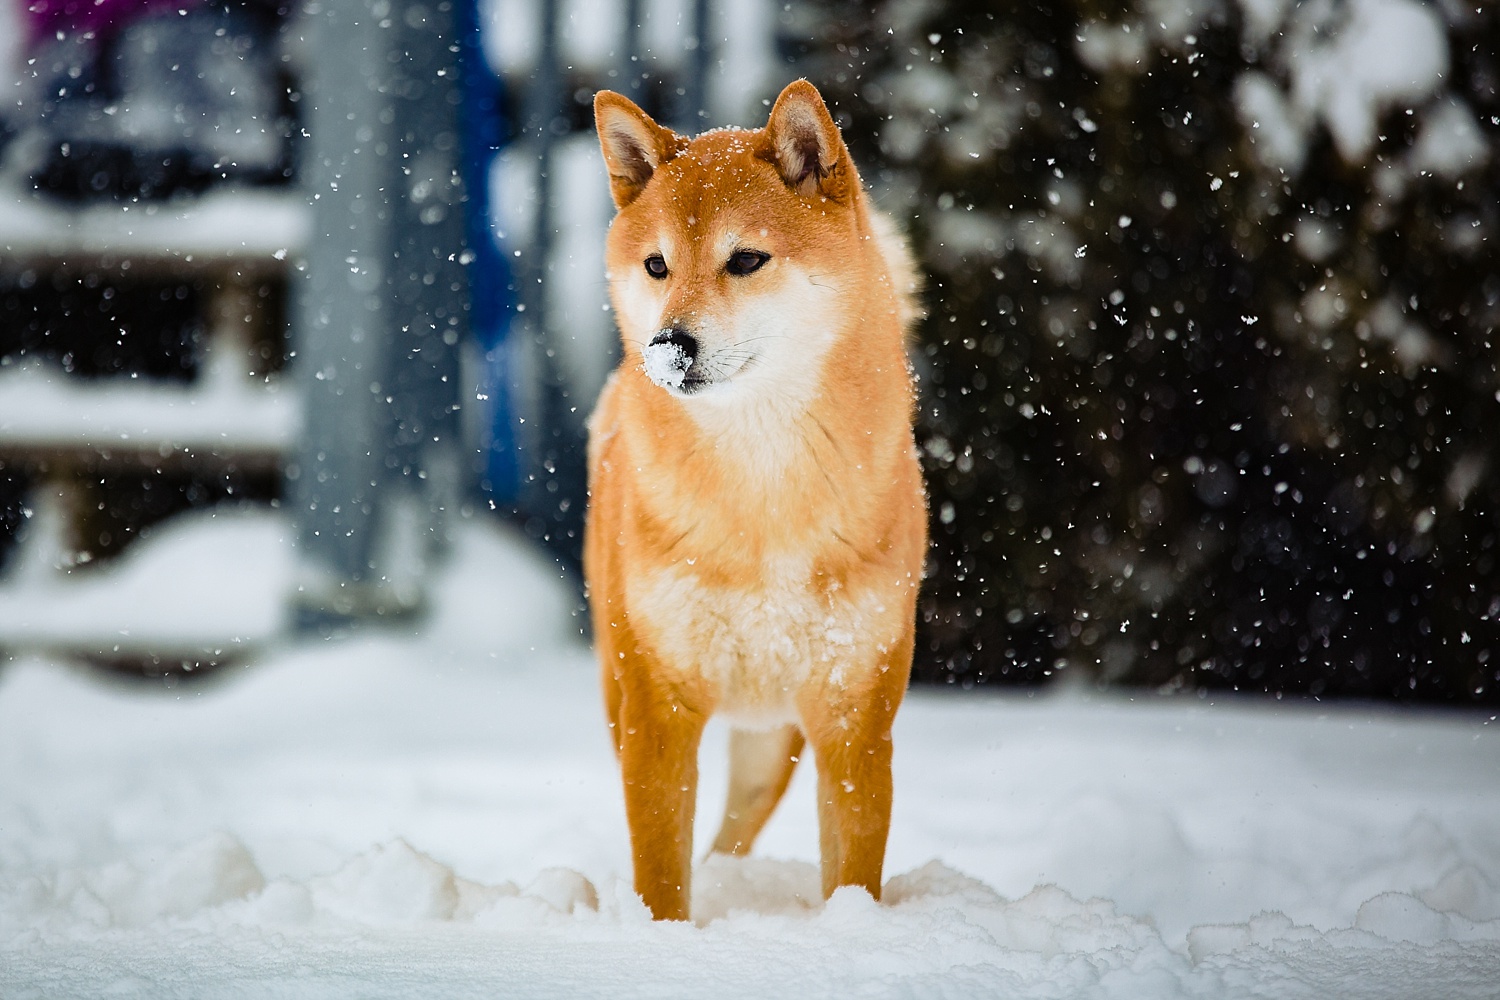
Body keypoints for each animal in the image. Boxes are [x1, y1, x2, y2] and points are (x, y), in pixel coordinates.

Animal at [585, 78, 924, 923]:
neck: (762, 484)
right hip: (622, 680)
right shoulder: (656, 701)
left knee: (735, 828)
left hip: (776, 739)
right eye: (656, 265)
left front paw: (850, 928)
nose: (668, 349)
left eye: (745, 260)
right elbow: (661, 871)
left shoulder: (854, 709)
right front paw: (663, 936)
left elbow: (854, 863)